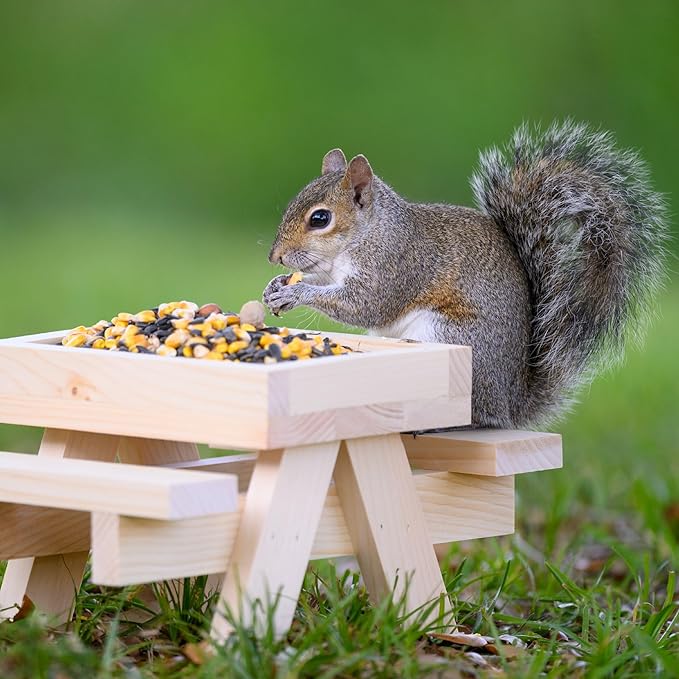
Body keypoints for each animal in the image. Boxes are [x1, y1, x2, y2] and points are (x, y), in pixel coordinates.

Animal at [263, 121, 667, 428]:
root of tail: (509, 405)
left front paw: (296, 293)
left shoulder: (396, 266)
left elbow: (365, 306)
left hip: (449, 340)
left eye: (320, 218)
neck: (367, 233)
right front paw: (276, 288)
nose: (274, 256)